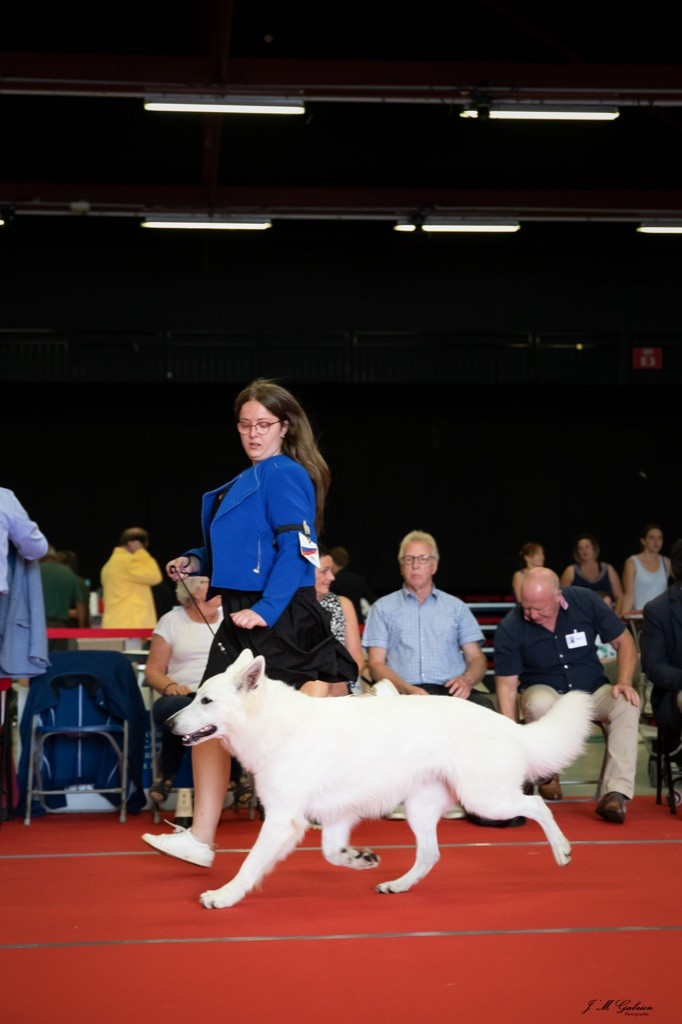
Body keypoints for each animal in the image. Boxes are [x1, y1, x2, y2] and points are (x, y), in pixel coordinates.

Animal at [163, 651, 589, 909]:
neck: (273, 724)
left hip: (487, 799)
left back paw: (563, 850)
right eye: (196, 695)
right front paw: (360, 859)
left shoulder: (283, 820)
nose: (167, 724)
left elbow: (250, 864)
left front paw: (224, 895)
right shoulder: (335, 817)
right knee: (430, 855)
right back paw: (397, 885)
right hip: (421, 809)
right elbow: (331, 853)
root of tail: (506, 722)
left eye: (206, 701)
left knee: (537, 805)